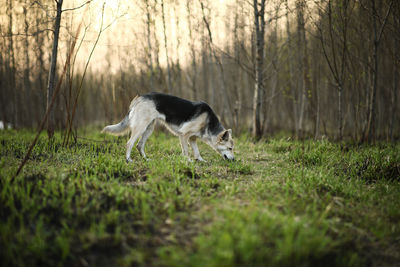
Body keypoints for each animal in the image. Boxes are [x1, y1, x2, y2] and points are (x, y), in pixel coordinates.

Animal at [101, 92, 236, 163]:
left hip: (149, 129)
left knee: (139, 145)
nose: (234, 160)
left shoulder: (192, 138)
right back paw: (129, 160)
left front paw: (201, 160)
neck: (208, 122)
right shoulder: (184, 135)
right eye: (230, 148)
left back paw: (146, 159)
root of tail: (139, 97)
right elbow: (186, 151)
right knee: (129, 143)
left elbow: (196, 151)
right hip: (141, 127)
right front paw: (188, 161)